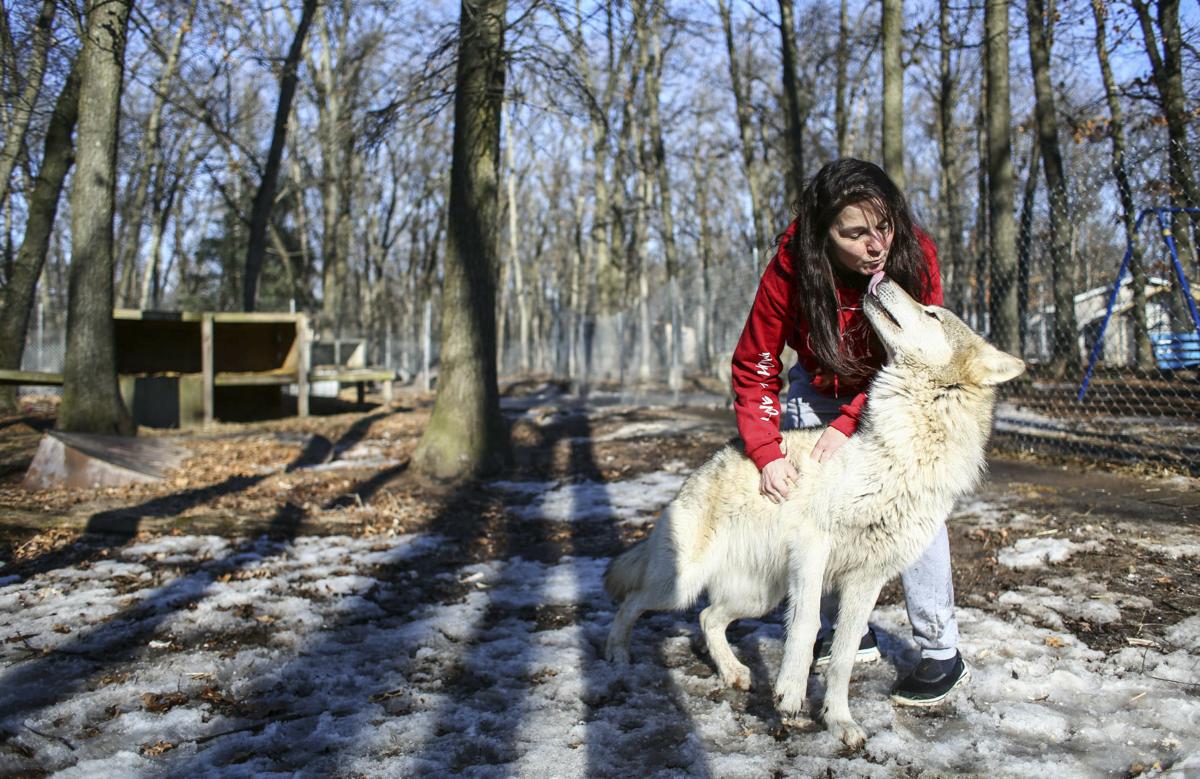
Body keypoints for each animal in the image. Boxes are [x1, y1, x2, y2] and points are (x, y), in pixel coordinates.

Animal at [603, 276, 1024, 749]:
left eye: (932, 313)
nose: (883, 279)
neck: (901, 450)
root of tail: (697, 471)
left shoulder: (868, 578)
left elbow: (843, 656)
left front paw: (839, 720)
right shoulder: (813, 548)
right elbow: (804, 627)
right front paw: (789, 694)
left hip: (759, 595)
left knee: (709, 619)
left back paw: (734, 673)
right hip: (681, 585)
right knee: (632, 603)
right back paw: (617, 654)